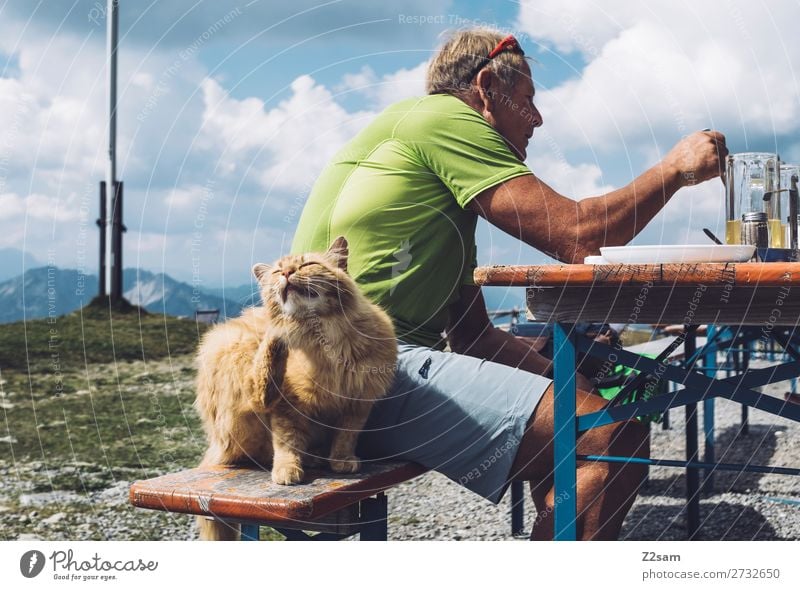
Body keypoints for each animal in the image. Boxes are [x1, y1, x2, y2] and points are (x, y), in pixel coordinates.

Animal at [192, 237, 396, 540]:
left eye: (306, 265)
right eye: (278, 271)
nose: (287, 273)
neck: (326, 344)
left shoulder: (357, 403)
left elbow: (345, 437)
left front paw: (341, 460)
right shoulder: (288, 406)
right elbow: (286, 442)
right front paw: (288, 469)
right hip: (235, 353)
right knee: (260, 394)